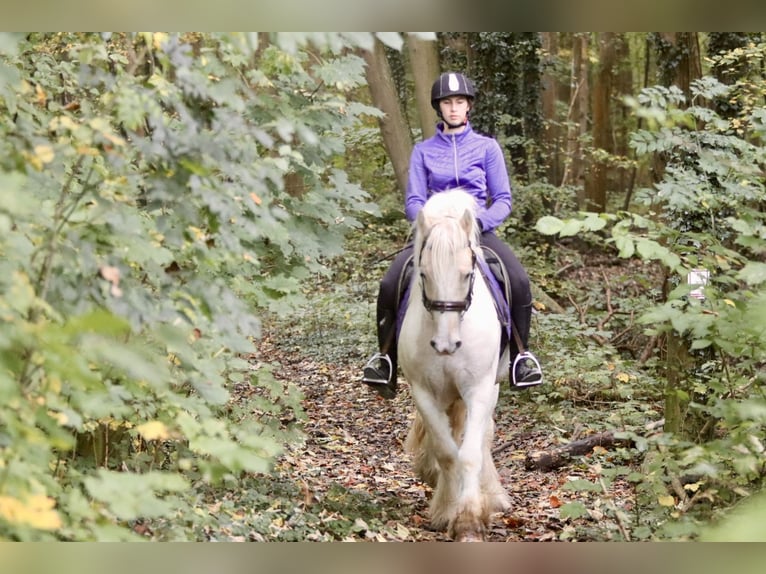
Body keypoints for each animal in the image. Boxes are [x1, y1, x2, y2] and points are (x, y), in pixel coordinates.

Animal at [400, 190, 512, 544]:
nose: (445, 345)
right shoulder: (423, 392)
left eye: (467, 274)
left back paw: (493, 495)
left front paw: (470, 521)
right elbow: (448, 451)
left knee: (484, 436)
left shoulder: (479, 389)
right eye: (423, 274)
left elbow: (470, 452)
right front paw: (447, 510)